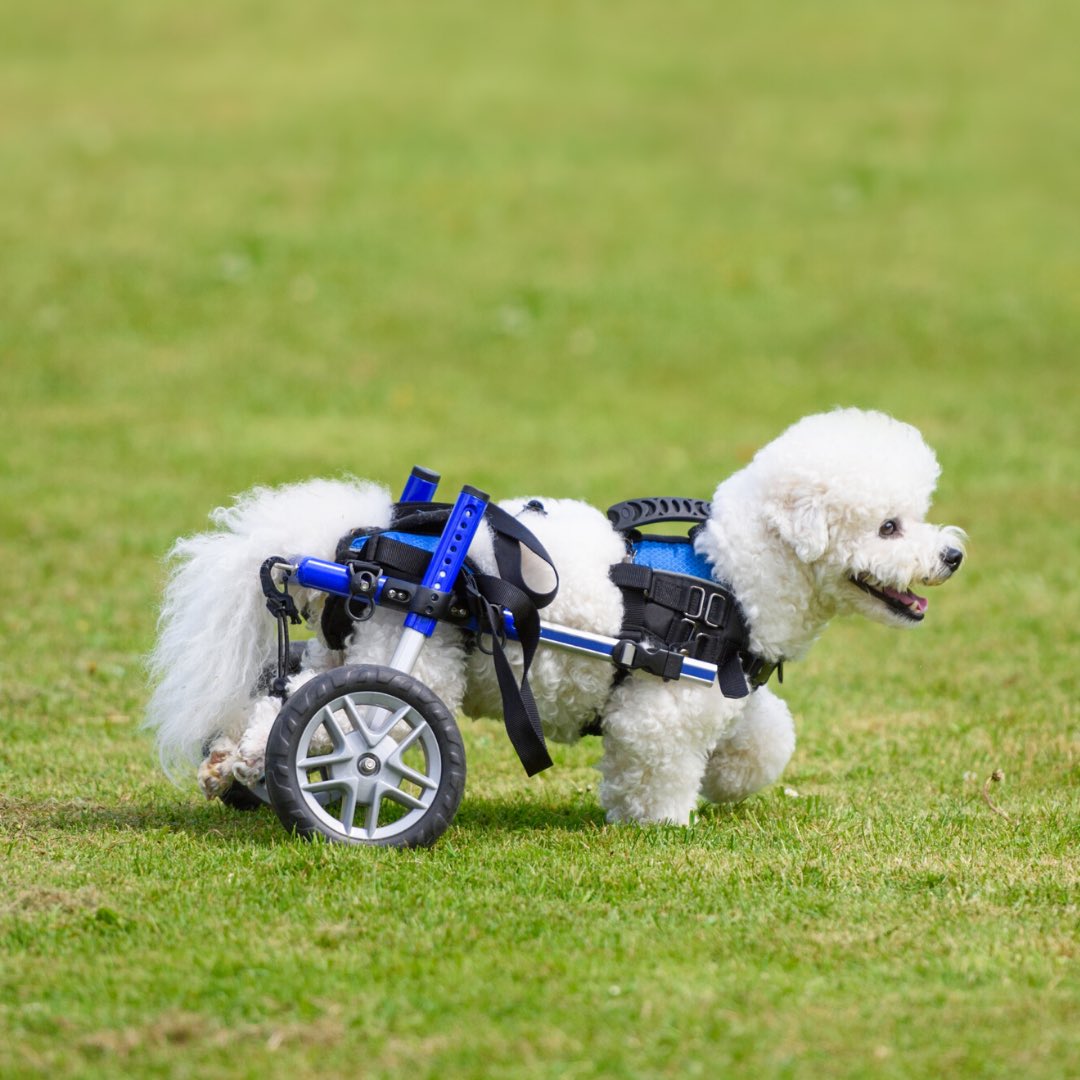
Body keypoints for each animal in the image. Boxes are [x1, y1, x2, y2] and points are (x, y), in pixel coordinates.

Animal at [143, 410, 963, 825]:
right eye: (889, 527)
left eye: (916, 518)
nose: (951, 554)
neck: (734, 574)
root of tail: (364, 542)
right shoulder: (663, 710)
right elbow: (657, 772)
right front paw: (660, 823)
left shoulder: (720, 690)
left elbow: (767, 740)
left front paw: (728, 780)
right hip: (414, 652)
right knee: (357, 728)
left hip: (340, 652)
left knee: (276, 707)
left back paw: (235, 766)